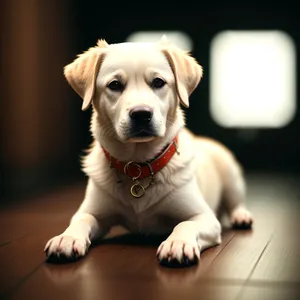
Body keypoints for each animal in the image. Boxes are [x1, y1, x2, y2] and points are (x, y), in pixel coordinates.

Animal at [44, 37, 253, 264]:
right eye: (114, 85)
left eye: (158, 82)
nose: (141, 114)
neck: (138, 166)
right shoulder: (92, 212)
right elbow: (80, 220)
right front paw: (66, 238)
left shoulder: (205, 216)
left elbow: (185, 223)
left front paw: (177, 243)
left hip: (230, 174)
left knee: (236, 202)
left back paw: (241, 217)